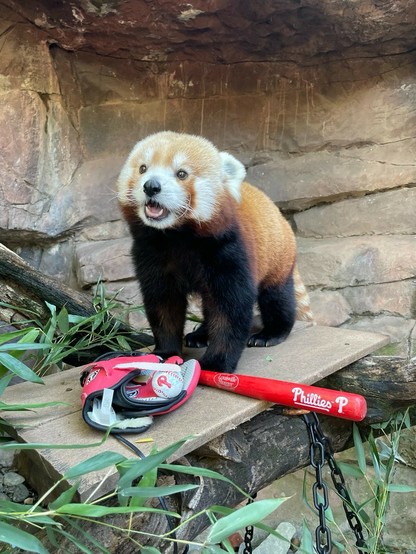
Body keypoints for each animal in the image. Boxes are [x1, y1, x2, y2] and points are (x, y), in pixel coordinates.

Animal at [117, 130, 312, 370]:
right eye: (143, 168)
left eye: (181, 173)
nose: (151, 186)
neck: (177, 236)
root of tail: (279, 215)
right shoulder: (152, 254)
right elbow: (163, 304)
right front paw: (165, 352)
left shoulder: (228, 250)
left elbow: (230, 309)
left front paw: (216, 362)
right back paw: (200, 334)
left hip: (277, 257)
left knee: (276, 297)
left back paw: (272, 333)